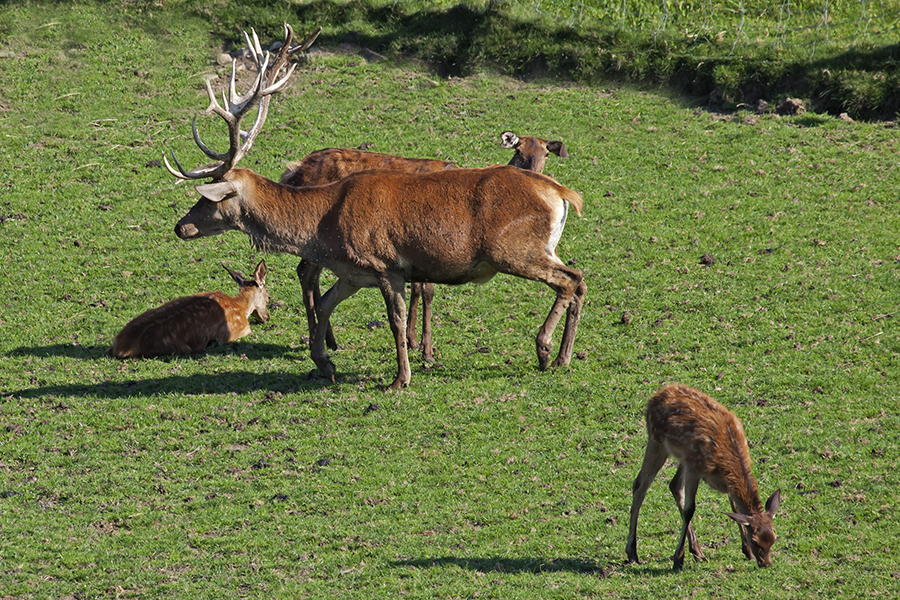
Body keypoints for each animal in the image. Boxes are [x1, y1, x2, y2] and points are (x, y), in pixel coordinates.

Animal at [108, 260, 268, 358]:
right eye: (268, 297)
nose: (267, 317)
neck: (241, 307)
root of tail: (121, 347)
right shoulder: (238, 331)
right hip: (180, 347)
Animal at [280, 130, 568, 360]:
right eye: (518, 151)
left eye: (545, 153)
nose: (531, 174)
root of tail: (294, 171)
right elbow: (427, 291)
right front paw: (427, 349)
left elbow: (419, 289)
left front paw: (413, 340)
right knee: (305, 272)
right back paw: (316, 338)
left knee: (309, 273)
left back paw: (328, 339)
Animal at [624, 384, 780, 572]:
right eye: (756, 541)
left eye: (773, 538)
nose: (766, 564)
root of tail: (656, 395)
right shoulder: (695, 468)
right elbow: (689, 509)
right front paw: (678, 559)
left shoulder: (719, 479)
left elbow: (735, 508)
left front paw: (746, 551)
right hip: (657, 442)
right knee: (640, 484)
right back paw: (632, 552)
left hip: (682, 457)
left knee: (674, 485)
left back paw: (697, 551)